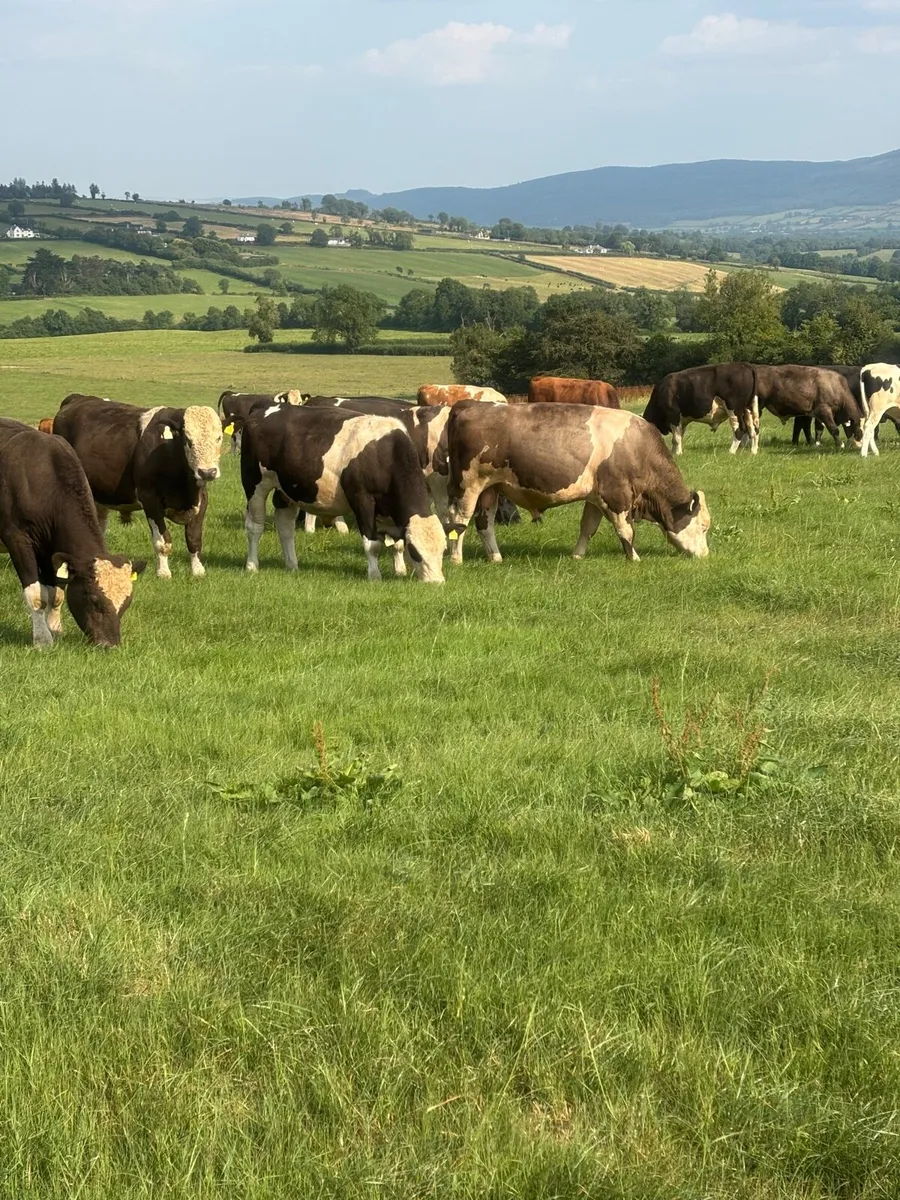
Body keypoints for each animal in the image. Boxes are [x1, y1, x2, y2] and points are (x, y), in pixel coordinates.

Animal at [0, 417, 145, 647]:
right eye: (93, 599)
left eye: (127, 603)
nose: (110, 644)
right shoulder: (17, 539)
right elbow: (37, 595)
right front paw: (42, 640)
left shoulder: (51, 549)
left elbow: (55, 594)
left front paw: (55, 629)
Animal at [51, 394, 223, 578]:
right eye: (188, 440)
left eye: (219, 438)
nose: (207, 472)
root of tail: (78, 398)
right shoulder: (150, 499)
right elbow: (162, 541)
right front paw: (163, 572)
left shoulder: (201, 499)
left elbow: (194, 539)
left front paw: (198, 571)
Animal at [240, 403, 446, 582]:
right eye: (415, 551)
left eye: (443, 549)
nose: (436, 581)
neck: (385, 454)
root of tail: (262, 410)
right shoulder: (362, 500)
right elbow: (373, 544)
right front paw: (375, 576)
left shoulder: (390, 509)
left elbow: (397, 543)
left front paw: (400, 571)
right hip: (255, 485)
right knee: (255, 527)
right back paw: (252, 565)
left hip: (286, 491)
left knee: (285, 526)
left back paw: (292, 565)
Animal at [445, 403, 710, 564]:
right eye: (703, 526)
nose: (706, 555)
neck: (637, 448)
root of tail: (468, 405)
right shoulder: (616, 496)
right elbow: (626, 530)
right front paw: (634, 558)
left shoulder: (595, 498)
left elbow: (588, 528)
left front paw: (578, 556)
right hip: (468, 488)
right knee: (460, 521)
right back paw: (456, 559)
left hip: (490, 490)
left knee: (484, 524)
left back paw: (495, 557)